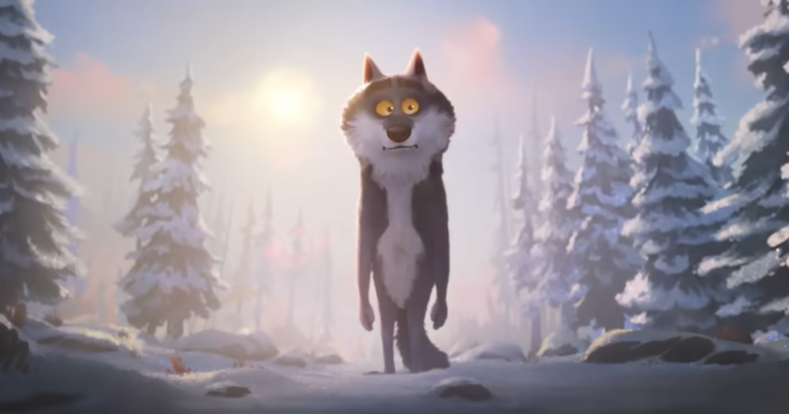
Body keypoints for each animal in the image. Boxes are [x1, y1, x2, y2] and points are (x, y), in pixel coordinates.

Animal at [340, 50, 455, 373]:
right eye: (384, 108)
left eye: (411, 106)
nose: (398, 131)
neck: (400, 178)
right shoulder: (367, 216)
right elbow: (361, 261)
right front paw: (365, 317)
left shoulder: (437, 213)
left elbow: (443, 256)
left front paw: (440, 313)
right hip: (386, 289)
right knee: (386, 327)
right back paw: (389, 371)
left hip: (417, 285)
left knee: (413, 326)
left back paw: (416, 370)